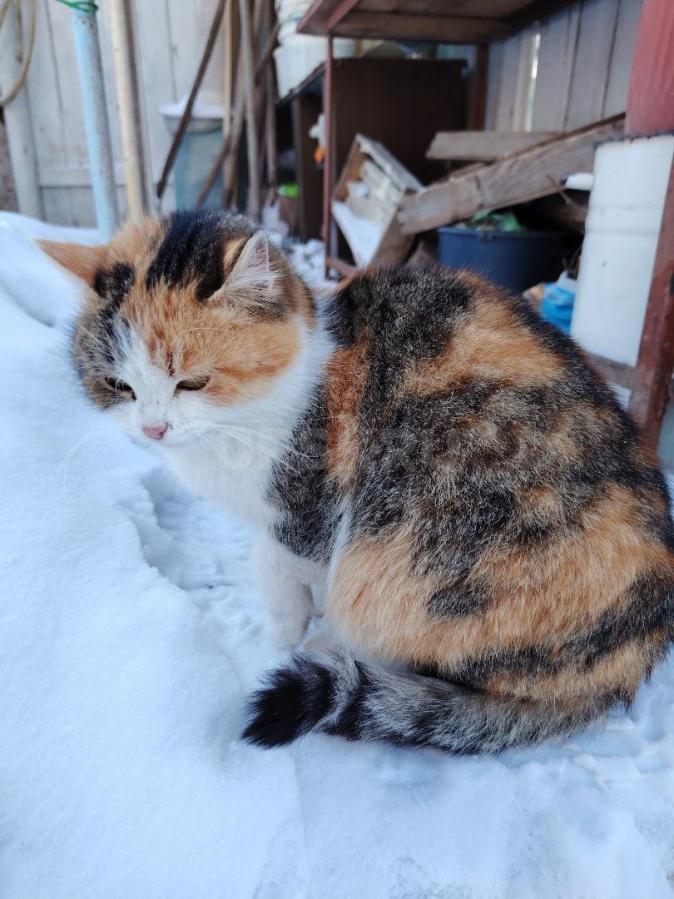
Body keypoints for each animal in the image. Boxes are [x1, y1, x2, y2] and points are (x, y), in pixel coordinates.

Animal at [40, 208, 674, 754]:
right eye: (119, 386)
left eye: (192, 382)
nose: (154, 427)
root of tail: (632, 662)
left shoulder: (309, 509)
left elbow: (276, 565)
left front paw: (282, 635)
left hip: (420, 545)